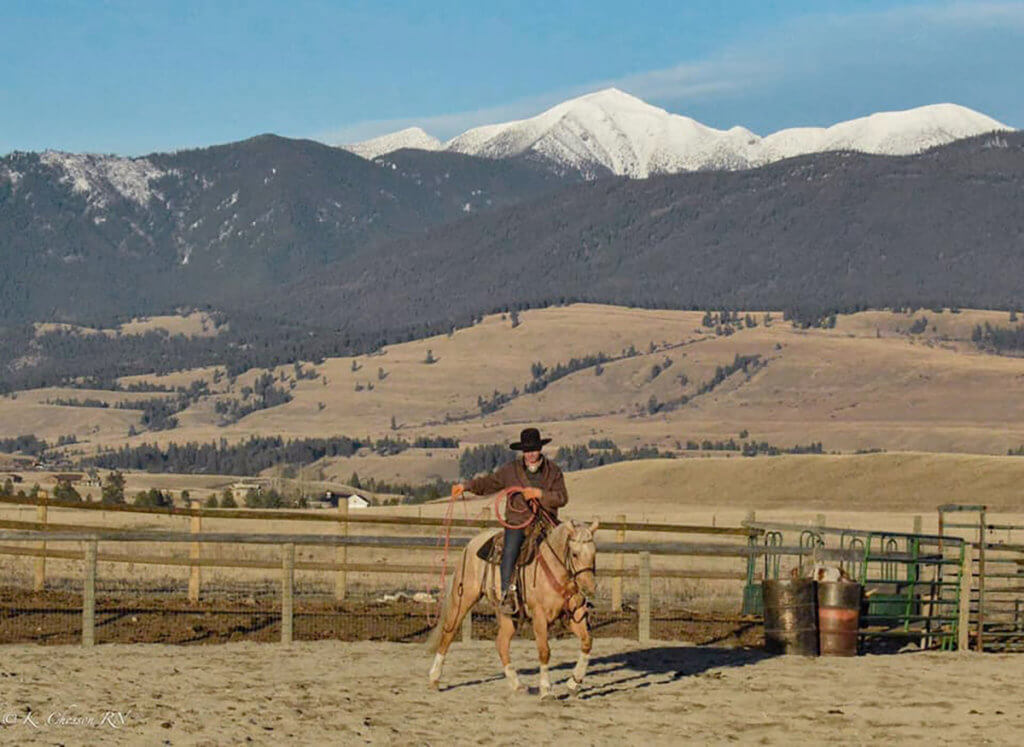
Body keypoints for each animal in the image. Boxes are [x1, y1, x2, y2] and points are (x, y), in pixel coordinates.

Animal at [426, 519, 599, 698]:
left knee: (501, 643)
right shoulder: (540, 616)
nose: (589, 588)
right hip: (464, 597)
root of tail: (472, 543)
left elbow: (587, 642)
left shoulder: (576, 614)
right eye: (575, 554)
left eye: (594, 553)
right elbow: (544, 651)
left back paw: (517, 685)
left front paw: (574, 683)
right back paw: (434, 679)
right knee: (448, 633)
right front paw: (546, 690)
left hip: (507, 614)